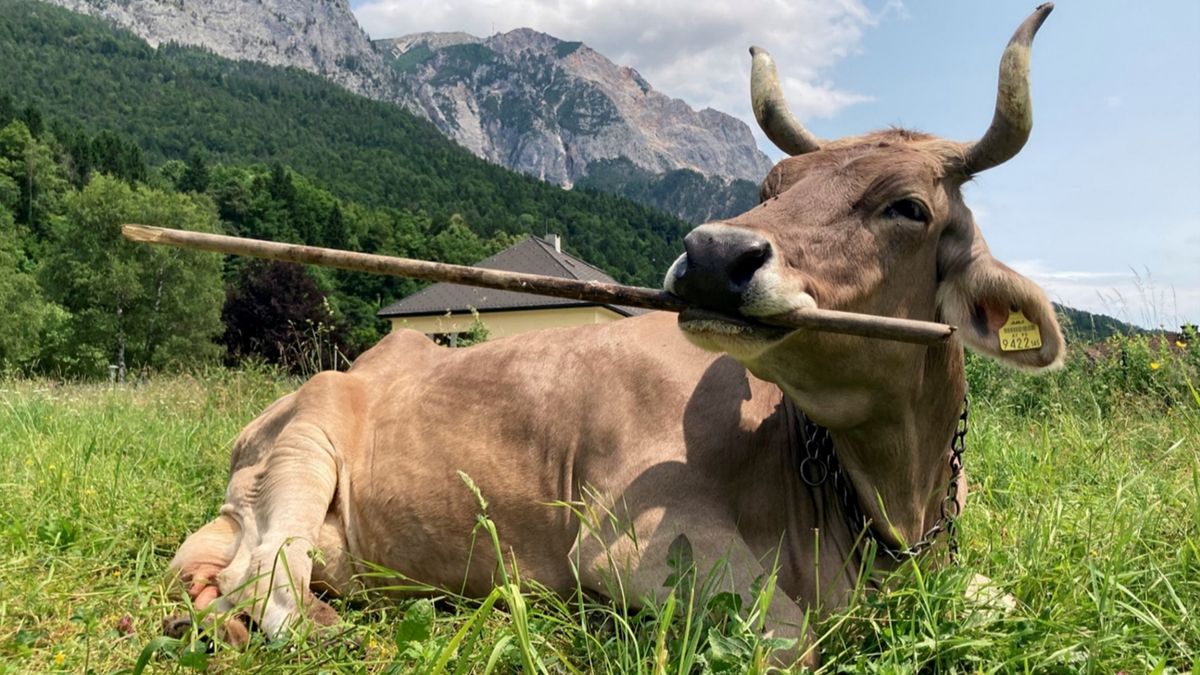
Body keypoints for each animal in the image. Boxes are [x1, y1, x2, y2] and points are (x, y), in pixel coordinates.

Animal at [165, 4, 1062, 667]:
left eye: (907, 206)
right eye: (772, 184)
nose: (714, 254)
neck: (887, 503)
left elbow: (1010, 597)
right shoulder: (631, 545)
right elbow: (792, 640)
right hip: (305, 445)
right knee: (266, 586)